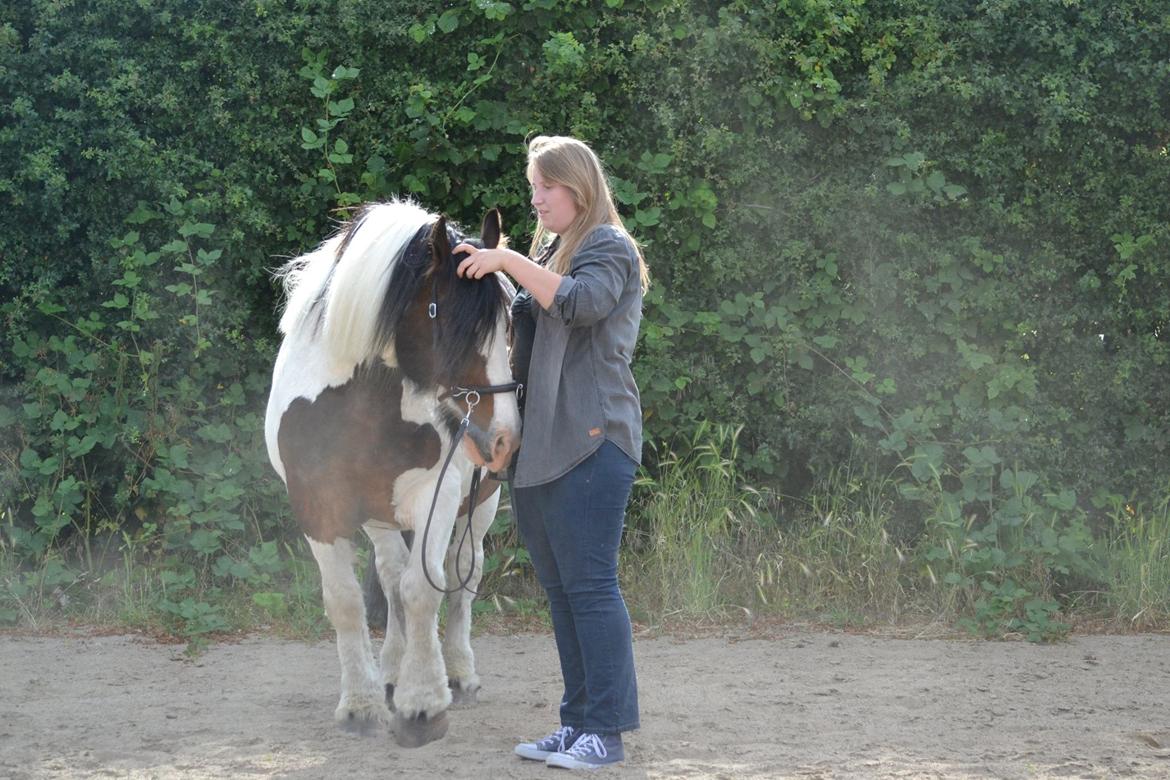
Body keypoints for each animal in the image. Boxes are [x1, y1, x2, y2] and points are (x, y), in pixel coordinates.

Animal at [267, 198, 524, 748]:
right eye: (453, 324)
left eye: (510, 324)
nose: (503, 440)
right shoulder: (318, 506)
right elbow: (348, 601)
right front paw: (361, 704)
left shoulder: (438, 497)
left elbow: (424, 589)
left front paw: (423, 704)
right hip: (379, 515)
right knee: (389, 575)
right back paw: (389, 672)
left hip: (480, 507)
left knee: (463, 574)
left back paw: (458, 674)